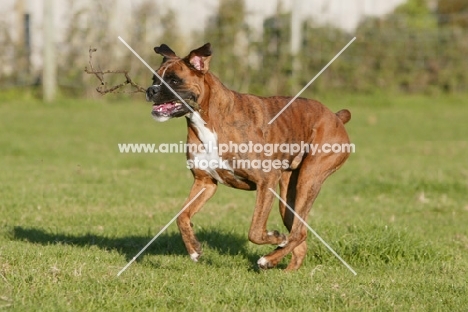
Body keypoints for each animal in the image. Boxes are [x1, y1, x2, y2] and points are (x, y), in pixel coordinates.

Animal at [146, 43, 352, 270]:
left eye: (174, 80)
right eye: (154, 79)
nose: (151, 90)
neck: (208, 118)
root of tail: (335, 117)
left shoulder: (266, 181)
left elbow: (255, 231)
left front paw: (274, 237)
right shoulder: (204, 182)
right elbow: (182, 216)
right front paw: (194, 249)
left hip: (308, 181)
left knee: (298, 232)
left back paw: (268, 259)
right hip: (287, 199)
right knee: (300, 238)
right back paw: (283, 268)